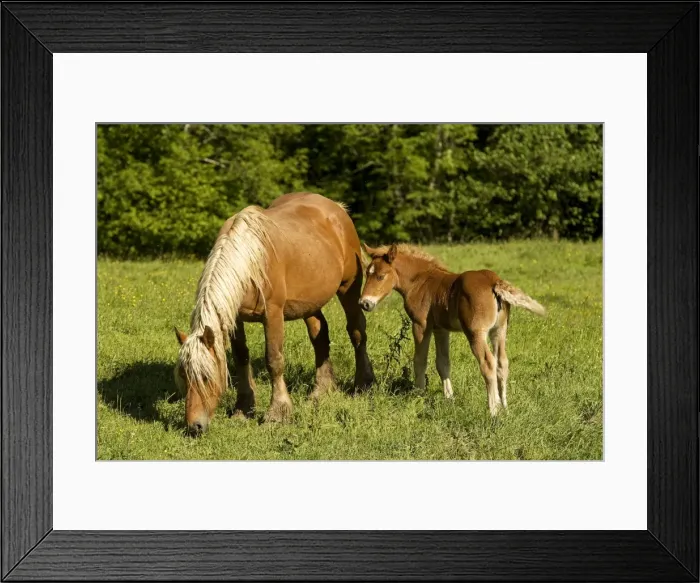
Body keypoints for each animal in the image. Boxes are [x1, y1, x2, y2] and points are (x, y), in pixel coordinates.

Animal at [173, 192, 375, 435]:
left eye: (205, 376)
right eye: (183, 375)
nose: (195, 426)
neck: (250, 258)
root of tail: (336, 208)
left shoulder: (273, 314)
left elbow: (274, 360)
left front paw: (277, 413)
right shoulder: (236, 318)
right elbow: (241, 357)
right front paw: (243, 408)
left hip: (348, 290)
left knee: (356, 332)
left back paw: (363, 384)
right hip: (310, 302)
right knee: (320, 336)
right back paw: (321, 391)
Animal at [358, 243, 545, 416]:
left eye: (381, 276)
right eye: (367, 273)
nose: (364, 303)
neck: (421, 281)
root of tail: (493, 281)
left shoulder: (421, 325)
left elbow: (420, 361)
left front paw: (418, 396)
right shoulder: (441, 329)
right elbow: (443, 363)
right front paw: (449, 399)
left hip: (476, 333)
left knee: (488, 363)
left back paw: (493, 411)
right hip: (499, 330)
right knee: (502, 362)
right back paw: (505, 408)